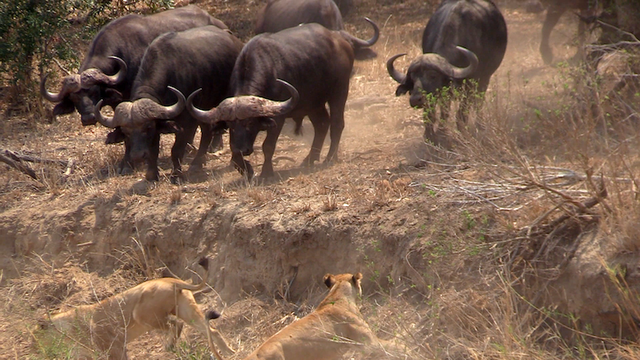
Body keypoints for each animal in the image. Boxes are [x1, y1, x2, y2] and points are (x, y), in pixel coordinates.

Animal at [91, 26, 239, 183]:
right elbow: (153, 150)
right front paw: (151, 175)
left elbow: (176, 150)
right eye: (126, 132)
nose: (137, 156)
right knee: (207, 131)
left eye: (148, 127)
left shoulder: (187, 123)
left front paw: (176, 175)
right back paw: (198, 163)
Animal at [188, 21, 378, 179]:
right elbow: (234, 153)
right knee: (322, 124)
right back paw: (310, 158)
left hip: (339, 91)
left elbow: (268, 145)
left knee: (336, 124)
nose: (244, 149)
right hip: (313, 104)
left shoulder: (278, 118)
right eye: (231, 125)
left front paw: (266, 172)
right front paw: (246, 169)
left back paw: (330, 158)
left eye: (250, 123)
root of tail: (341, 41)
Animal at [388, 1, 508, 145]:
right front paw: (433, 135)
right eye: (412, 78)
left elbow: (462, 111)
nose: (416, 100)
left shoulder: (470, 82)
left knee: (479, 100)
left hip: (485, 78)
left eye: (433, 76)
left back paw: (480, 125)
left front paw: (461, 133)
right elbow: (435, 113)